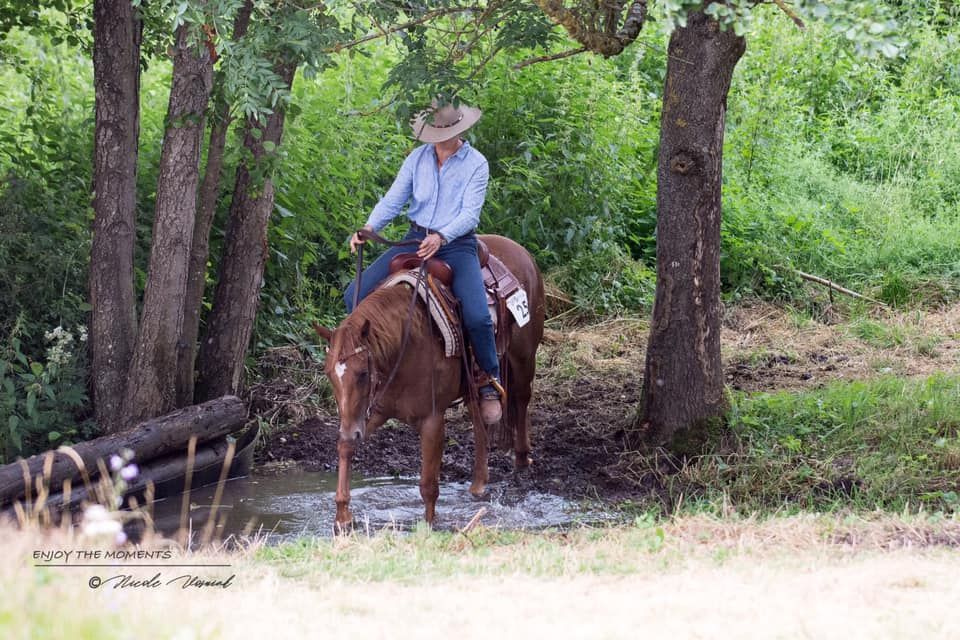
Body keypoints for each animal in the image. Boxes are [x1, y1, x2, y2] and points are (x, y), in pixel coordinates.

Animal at [314, 234, 544, 529]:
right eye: (329, 374)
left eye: (363, 373)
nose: (348, 430)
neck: (405, 343)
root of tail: (520, 251)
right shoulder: (372, 411)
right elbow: (346, 447)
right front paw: (342, 517)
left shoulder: (432, 420)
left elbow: (428, 484)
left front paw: (430, 526)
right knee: (479, 417)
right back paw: (479, 484)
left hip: (524, 356)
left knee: (521, 399)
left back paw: (522, 460)